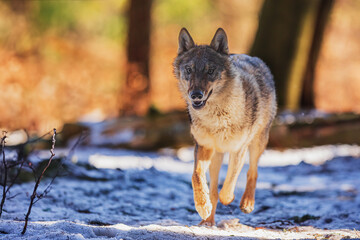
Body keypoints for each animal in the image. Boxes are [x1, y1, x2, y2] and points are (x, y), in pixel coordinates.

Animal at [173, 27, 278, 225]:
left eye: (210, 71)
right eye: (189, 70)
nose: (196, 95)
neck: (216, 117)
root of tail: (254, 58)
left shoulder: (238, 149)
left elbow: (230, 182)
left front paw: (229, 198)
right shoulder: (203, 147)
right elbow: (196, 176)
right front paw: (202, 205)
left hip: (257, 143)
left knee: (253, 172)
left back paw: (247, 203)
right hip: (216, 156)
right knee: (213, 187)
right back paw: (207, 221)